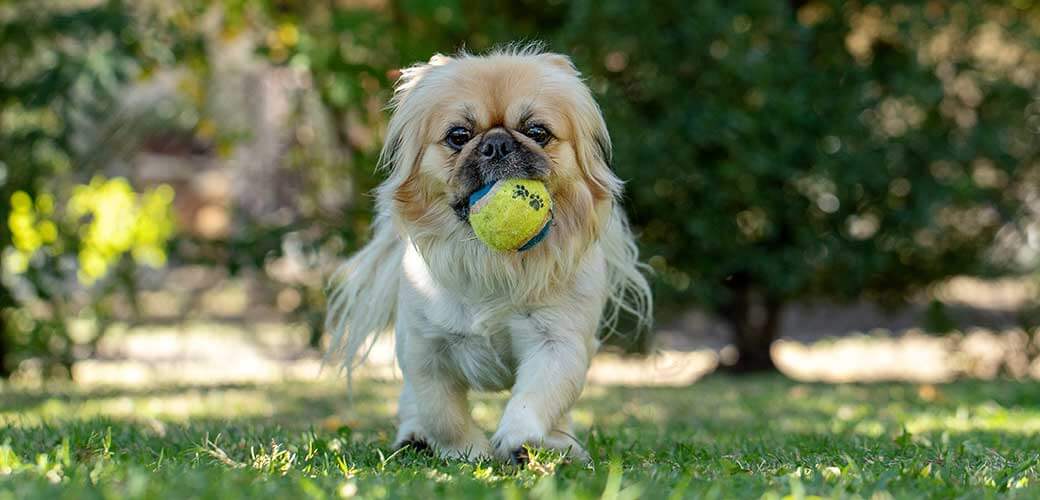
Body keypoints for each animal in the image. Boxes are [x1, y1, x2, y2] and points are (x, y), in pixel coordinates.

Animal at [324, 44, 648, 461]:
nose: (497, 144)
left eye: (537, 132)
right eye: (459, 135)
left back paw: (560, 445)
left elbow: (536, 398)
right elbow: (442, 415)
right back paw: (414, 437)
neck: (491, 262)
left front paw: (517, 438)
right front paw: (468, 453)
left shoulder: (558, 344)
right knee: (412, 404)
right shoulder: (425, 353)